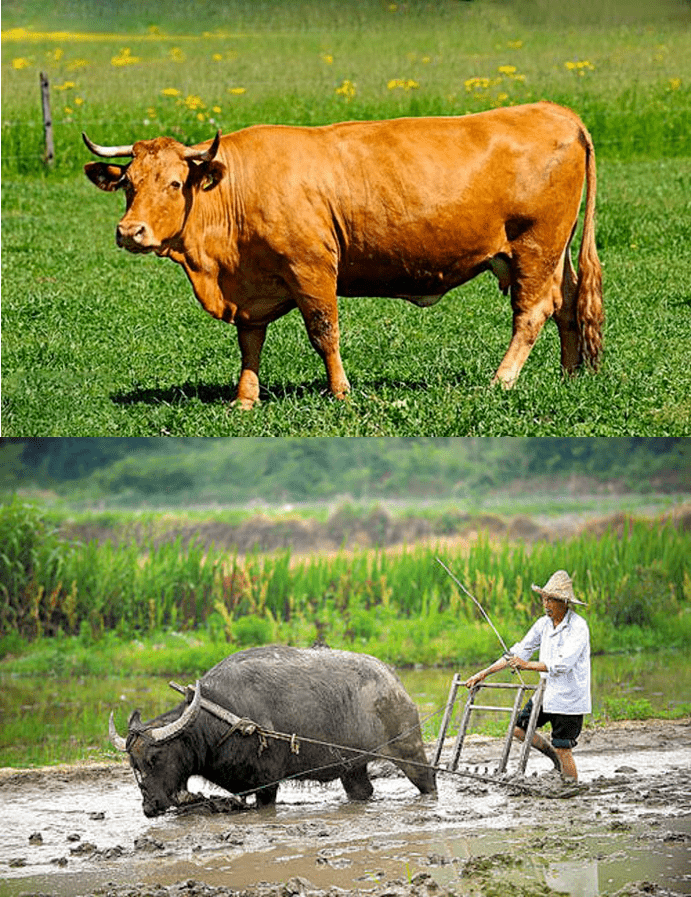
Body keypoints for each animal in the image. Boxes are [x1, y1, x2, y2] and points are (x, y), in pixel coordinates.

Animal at [84, 100, 604, 406]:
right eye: (128, 184)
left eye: (175, 183)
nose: (130, 231)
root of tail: (555, 111)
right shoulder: (253, 288)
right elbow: (250, 342)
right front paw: (245, 399)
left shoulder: (311, 269)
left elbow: (324, 333)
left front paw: (340, 392)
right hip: (554, 252)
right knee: (568, 304)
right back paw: (571, 376)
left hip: (535, 245)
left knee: (532, 312)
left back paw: (501, 381)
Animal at [110, 644, 436, 812]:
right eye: (133, 763)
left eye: (156, 758)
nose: (150, 806)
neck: (222, 719)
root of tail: (393, 682)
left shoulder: (266, 783)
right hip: (352, 767)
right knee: (362, 790)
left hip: (409, 750)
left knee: (428, 781)